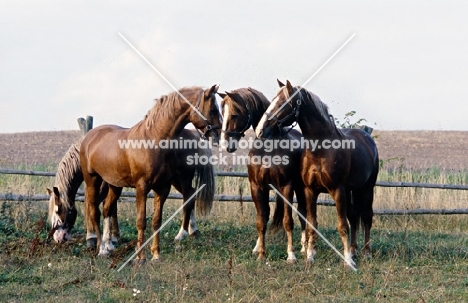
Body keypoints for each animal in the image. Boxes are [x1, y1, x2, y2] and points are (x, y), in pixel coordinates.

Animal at [46, 129, 215, 248]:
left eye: (58, 210)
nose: (58, 238)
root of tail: (193, 134)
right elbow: (110, 207)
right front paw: (113, 236)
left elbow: (95, 205)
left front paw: (93, 237)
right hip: (174, 180)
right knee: (191, 195)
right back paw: (193, 230)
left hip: (183, 177)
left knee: (188, 197)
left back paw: (182, 233)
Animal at [79, 85, 222, 262]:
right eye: (213, 109)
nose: (218, 136)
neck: (154, 140)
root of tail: (89, 137)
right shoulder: (142, 187)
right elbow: (141, 221)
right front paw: (140, 257)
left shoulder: (163, 188)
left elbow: (156, 221)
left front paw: (156, 254)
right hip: (92, 180)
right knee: (94, 211)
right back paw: (101, 248)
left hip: (114, 184)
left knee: (107, 209)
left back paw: (108, 246)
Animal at [219, 88, 308, 264]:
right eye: (222, 113)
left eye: (234, 114)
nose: (225, 145)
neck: (268, 147)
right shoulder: (257, 187)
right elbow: (261, 220)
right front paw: (261, 253)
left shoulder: (286, 187)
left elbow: (288, 221)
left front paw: (291, 255)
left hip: (300, 189)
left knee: (302, 213)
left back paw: (303, 247)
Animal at [256, 81, 380, 268]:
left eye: (284, 102)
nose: (260, 130)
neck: (321, 149)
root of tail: (367, 137)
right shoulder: (310, 191)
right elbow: (311, 225)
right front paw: (310, 256)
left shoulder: (337, 190)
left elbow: (342, 226)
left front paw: (347, 261)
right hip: (352, 190)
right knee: (354, 216)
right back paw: (353, 250)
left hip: (367, 188)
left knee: (366, 217)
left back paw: (366, 253)